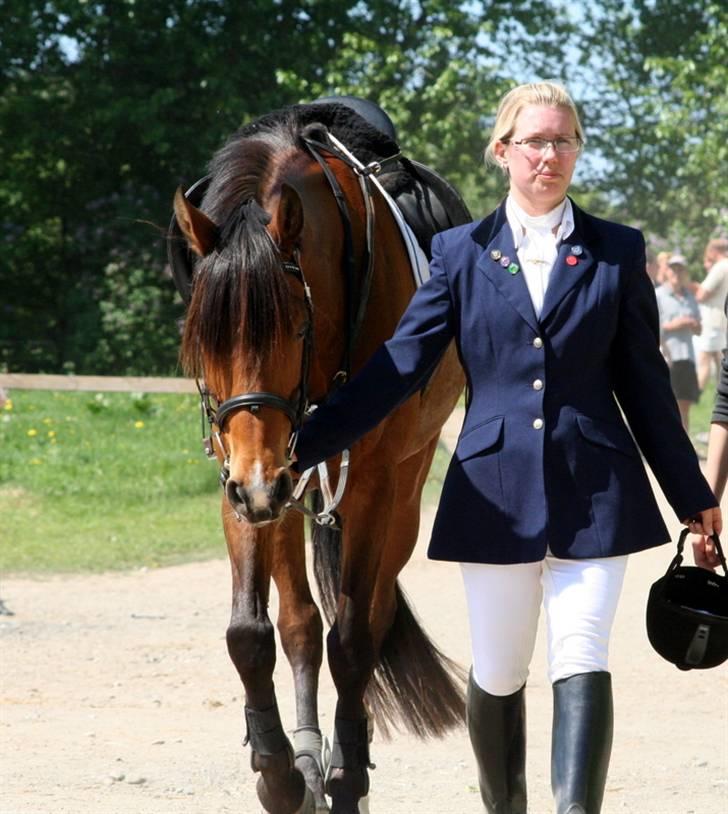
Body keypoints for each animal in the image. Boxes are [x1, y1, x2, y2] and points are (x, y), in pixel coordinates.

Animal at [171, 103, 466, 814]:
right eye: (201, 338)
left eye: (295, 327)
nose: (257, 485)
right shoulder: (244, 479)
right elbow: (252, 634)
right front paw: (279, 772)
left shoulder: (367, 485)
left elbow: (355, 638)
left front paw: (348, 776)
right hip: (284, 486)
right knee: (301, 621)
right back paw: (305, 752)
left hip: (388, 491)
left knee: (372, 615)